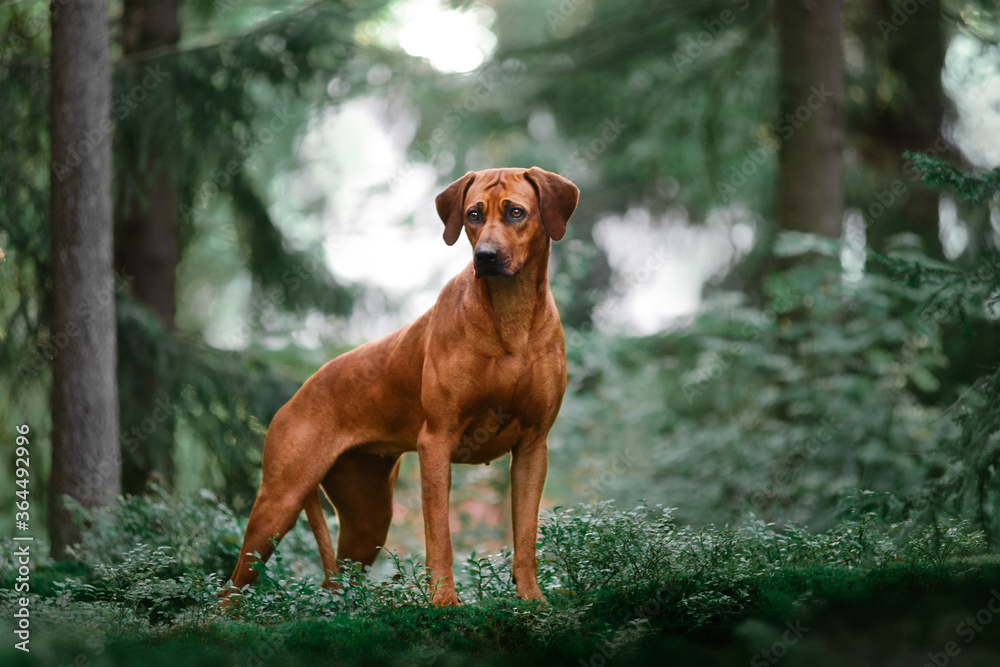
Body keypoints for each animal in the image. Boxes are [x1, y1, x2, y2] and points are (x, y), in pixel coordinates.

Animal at [221, 167, 580, 604]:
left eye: (516, 212)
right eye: (473, 215)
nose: (485, 257)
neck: (511, 313)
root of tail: (294, 398)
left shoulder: (533, 446)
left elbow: (525, 537)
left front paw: (531, 600)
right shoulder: (436, 442)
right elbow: (440, 536)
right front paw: (444, 602)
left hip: (368, 516)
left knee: (334, 583)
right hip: (279, 501)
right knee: (229, 589)